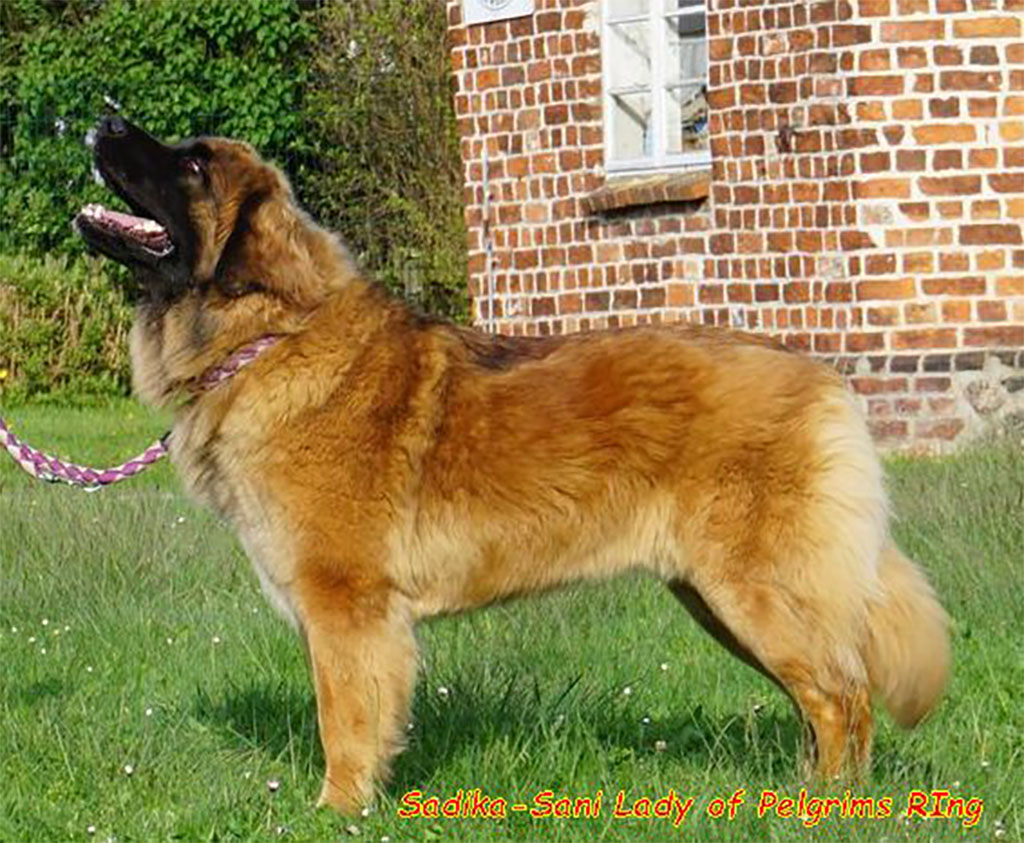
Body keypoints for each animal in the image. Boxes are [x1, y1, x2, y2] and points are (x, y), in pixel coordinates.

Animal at [74, 115, 949, 814]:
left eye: (193, 166)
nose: (103, 119)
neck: (267, 335)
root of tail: (823, 375)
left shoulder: (346, 606)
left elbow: (345, 721)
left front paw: (337, 810)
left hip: (754, 592)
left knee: (842, 697)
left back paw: (828, 808)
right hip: (719, 599)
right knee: (823, 699)